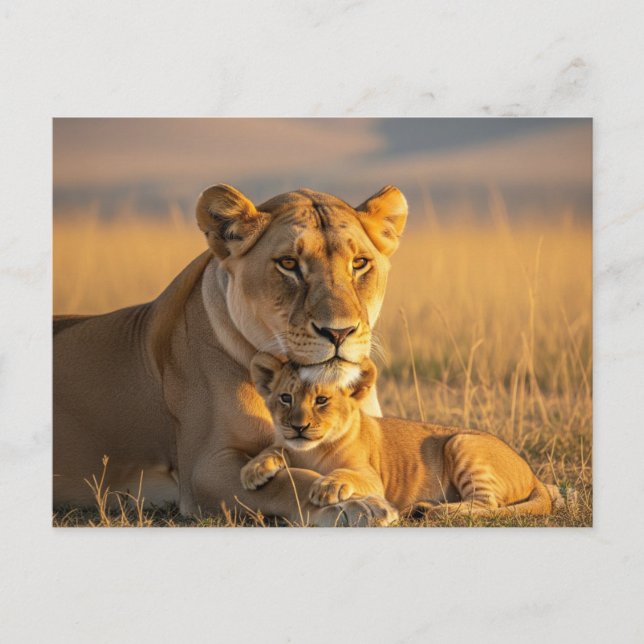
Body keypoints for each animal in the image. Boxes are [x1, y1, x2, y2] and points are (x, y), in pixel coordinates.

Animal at [53, 184, 407, 526]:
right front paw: (355, 504)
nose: (339, 332)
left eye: (359, 263)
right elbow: (290, 481)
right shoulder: (205, 468)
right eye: (288, 263)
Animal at [243, 354, 554, 519]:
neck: (312, 450)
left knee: (487, 504)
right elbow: (276, 448)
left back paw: (435, 510)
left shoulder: (374, 480)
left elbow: (346, 473)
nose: (299, 427)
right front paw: (253, 470)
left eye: (321, 400)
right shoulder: (289, 445)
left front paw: (326, 486)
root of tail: (532, 472)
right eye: (286, 398)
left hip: (461, 442)